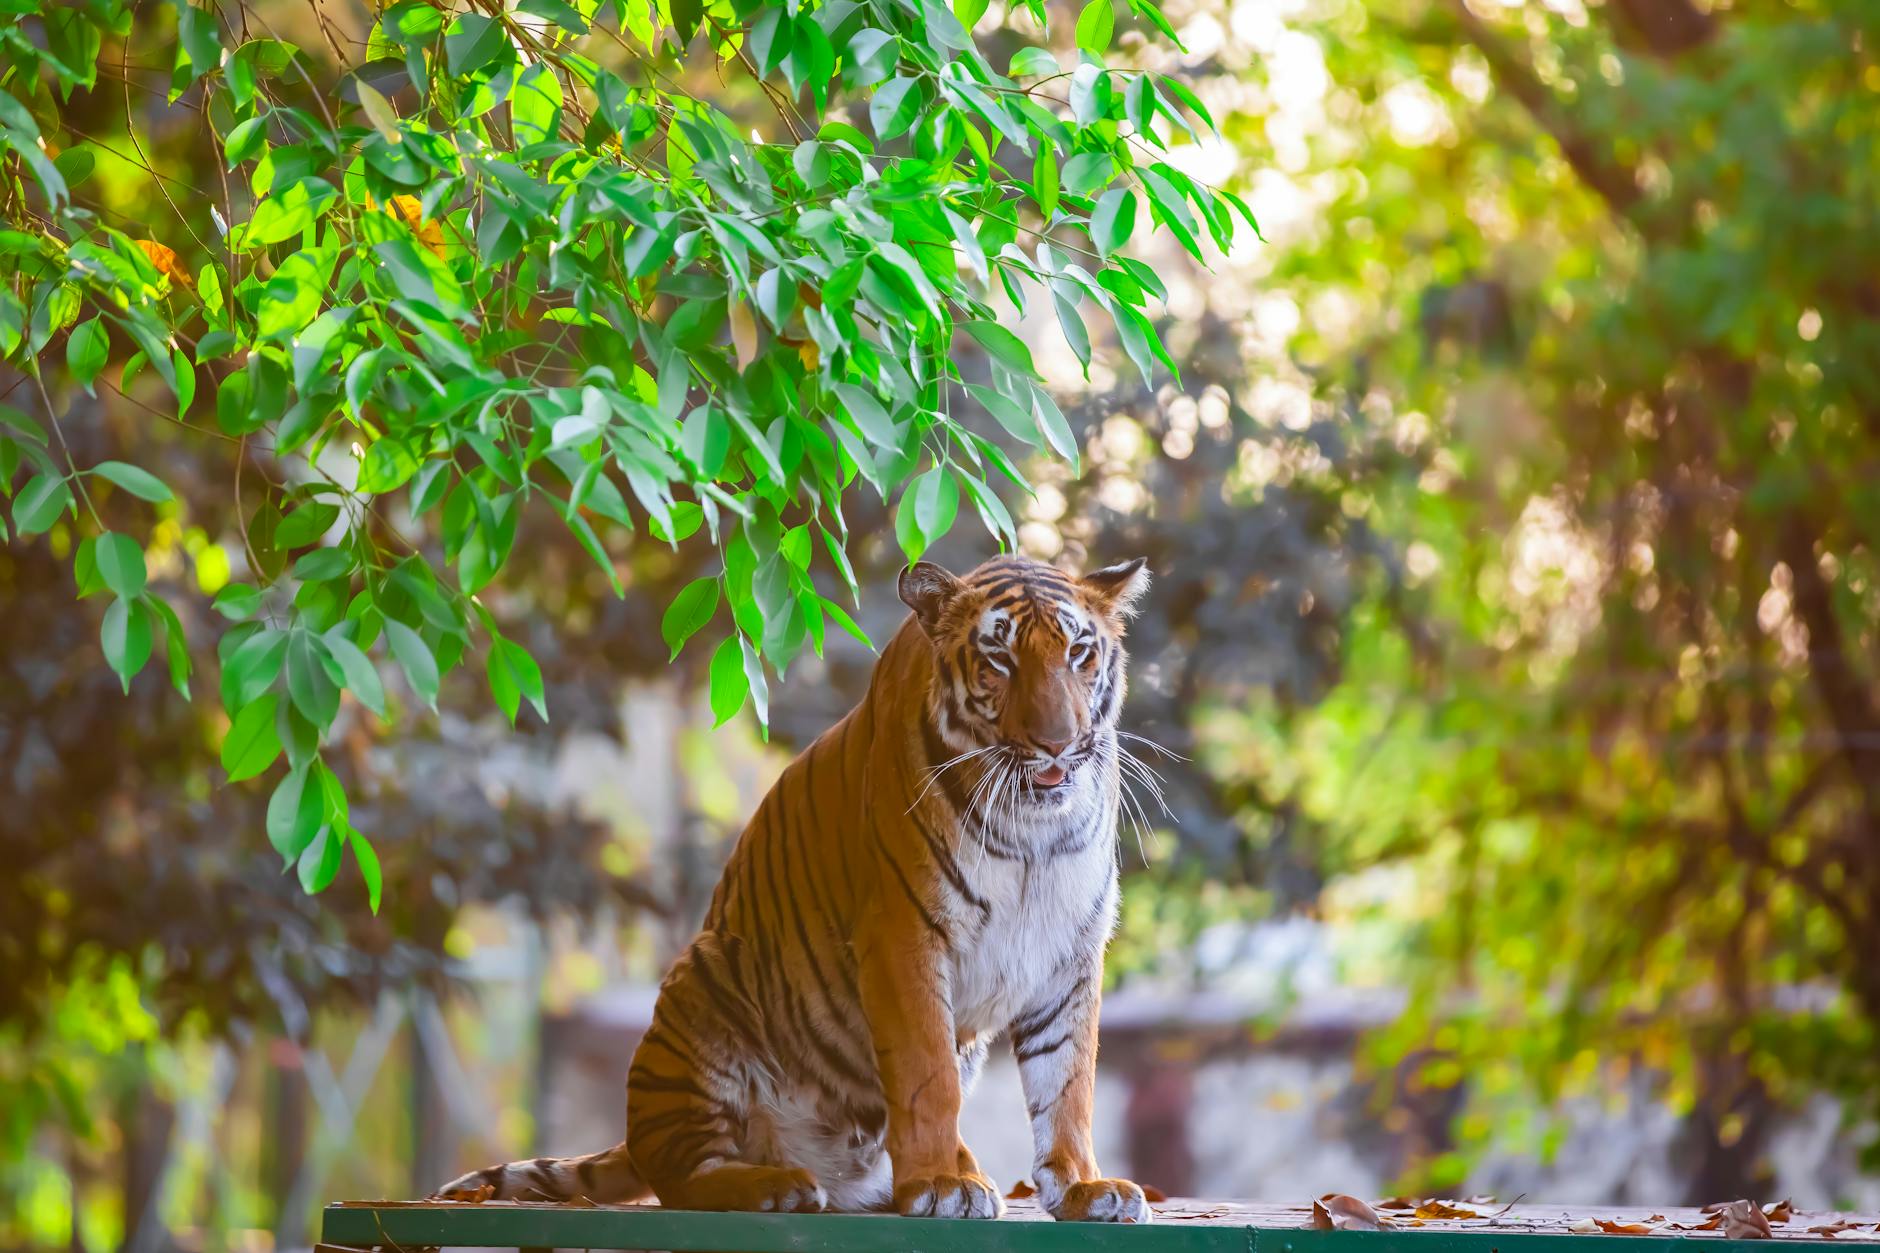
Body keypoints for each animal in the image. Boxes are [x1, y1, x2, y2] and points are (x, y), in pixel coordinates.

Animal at [436, 554, 1155, 1223]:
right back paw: (776, 1185)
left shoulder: (1072, 950)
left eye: (1080, 653)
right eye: (999, 659)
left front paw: (1084, 1186)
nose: (1057, 744)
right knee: (682, 1176)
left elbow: (1068, 1083)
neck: (1034, 832)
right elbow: (929, 1075)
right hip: (704, 986)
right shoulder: (903, 934)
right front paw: (941, 1183)